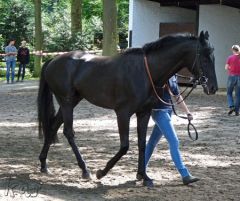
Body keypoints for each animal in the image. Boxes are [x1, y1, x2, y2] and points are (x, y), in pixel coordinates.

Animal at [37, 31, 218, 187]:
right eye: (204, 57)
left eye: (213, 56)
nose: (213, 87)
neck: (146, 72)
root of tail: (53, 60)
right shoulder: (123, 114)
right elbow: (124, 146)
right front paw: (101, 172)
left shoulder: (143, 113)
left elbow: (142, 144)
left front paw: (144, 177)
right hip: (67, 102)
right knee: (68, 132)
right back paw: (85, 169)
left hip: (71, 101)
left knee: (53, 127)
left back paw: (44, 165)